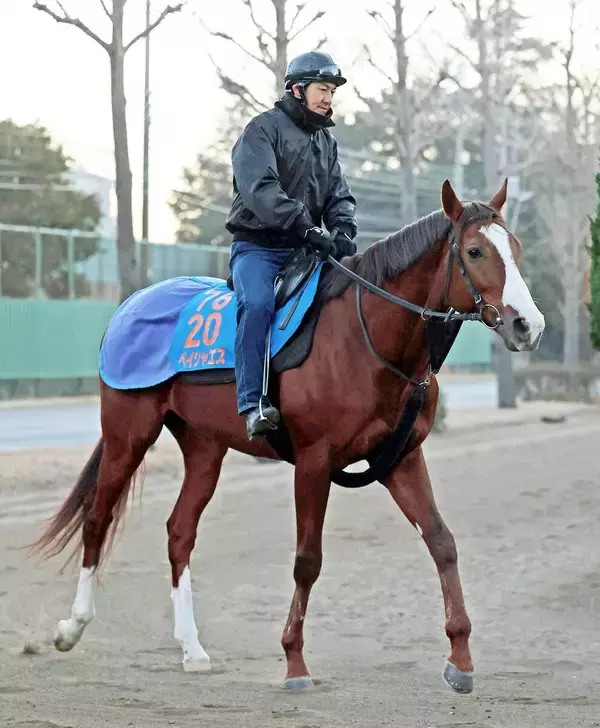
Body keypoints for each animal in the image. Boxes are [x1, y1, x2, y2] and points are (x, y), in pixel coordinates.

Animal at [30, 179, 545, 694]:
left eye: (516, 248)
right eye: (475, 251)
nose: (529, 325)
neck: (364, 339)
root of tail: (131, 306)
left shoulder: (400, 459)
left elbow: (442, 542)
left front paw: (460, 658)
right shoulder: (314, 462)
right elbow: (307, 560)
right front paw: (295, 662)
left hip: (204, 448)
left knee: (180, 532)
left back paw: (192, 649)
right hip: (128, 434)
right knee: (97, 518)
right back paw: (72, 627)